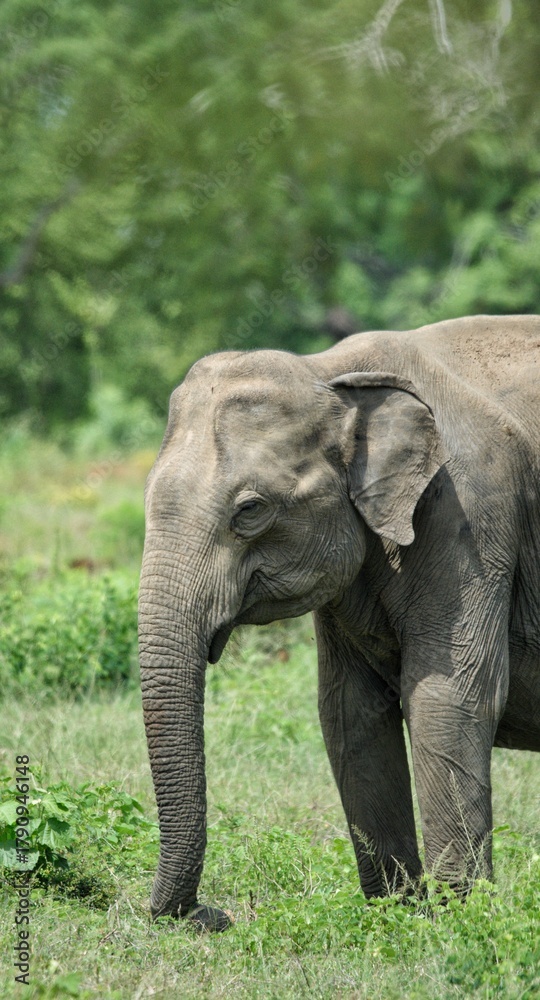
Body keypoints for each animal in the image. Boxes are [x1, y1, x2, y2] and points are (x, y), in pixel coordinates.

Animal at [138, 313, 540, 931]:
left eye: (250, 510)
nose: (211, 914)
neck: (330, 372)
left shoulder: (473, 515)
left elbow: (450, 699)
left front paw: (460, 923)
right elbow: (350, 712)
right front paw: (398, 917)